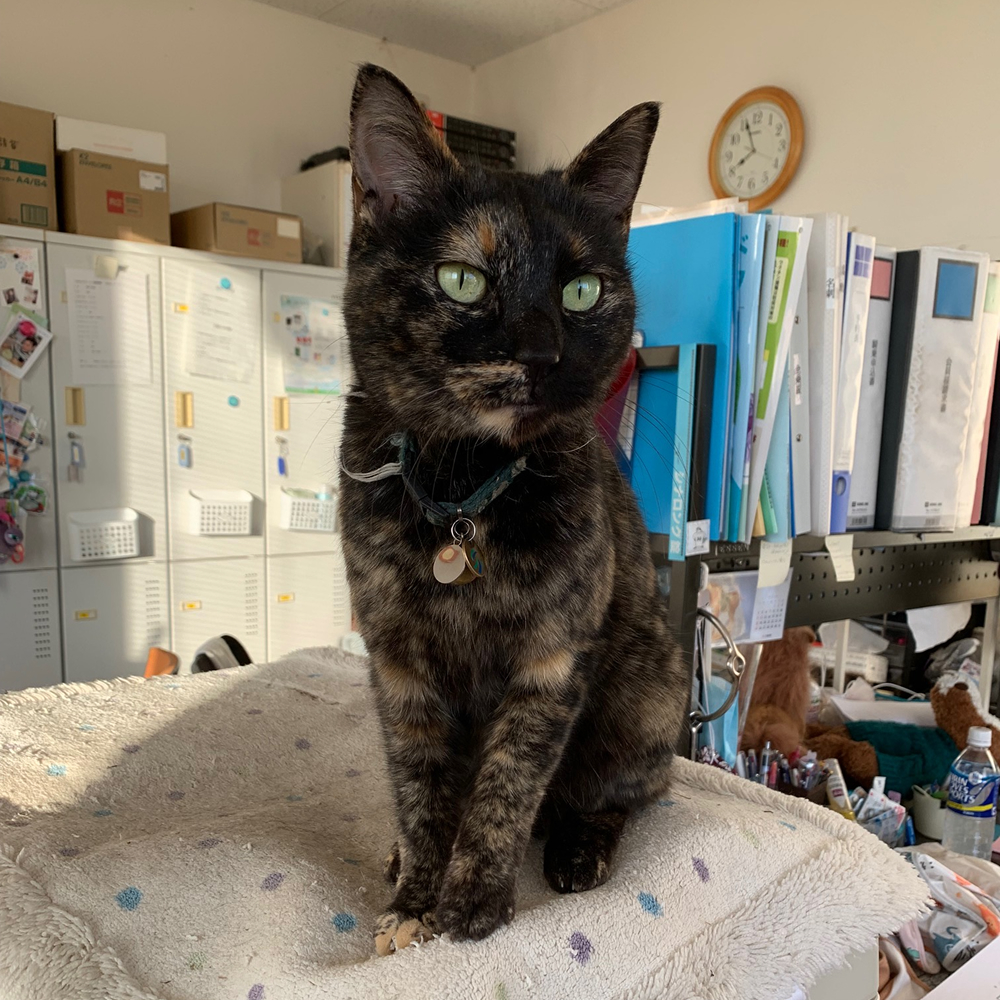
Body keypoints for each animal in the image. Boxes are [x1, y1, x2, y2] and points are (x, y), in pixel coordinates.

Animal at [339, 64, 686, 955]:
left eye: (582, 290)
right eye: (465, 280)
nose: (541, 352)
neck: (465, 494)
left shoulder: (551, 664)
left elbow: (506, 789)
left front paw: (473, 902)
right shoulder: (398, 666)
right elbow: (422, 792)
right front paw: (414, 899)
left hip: (646, 694)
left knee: (616, 796)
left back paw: (575, 851)